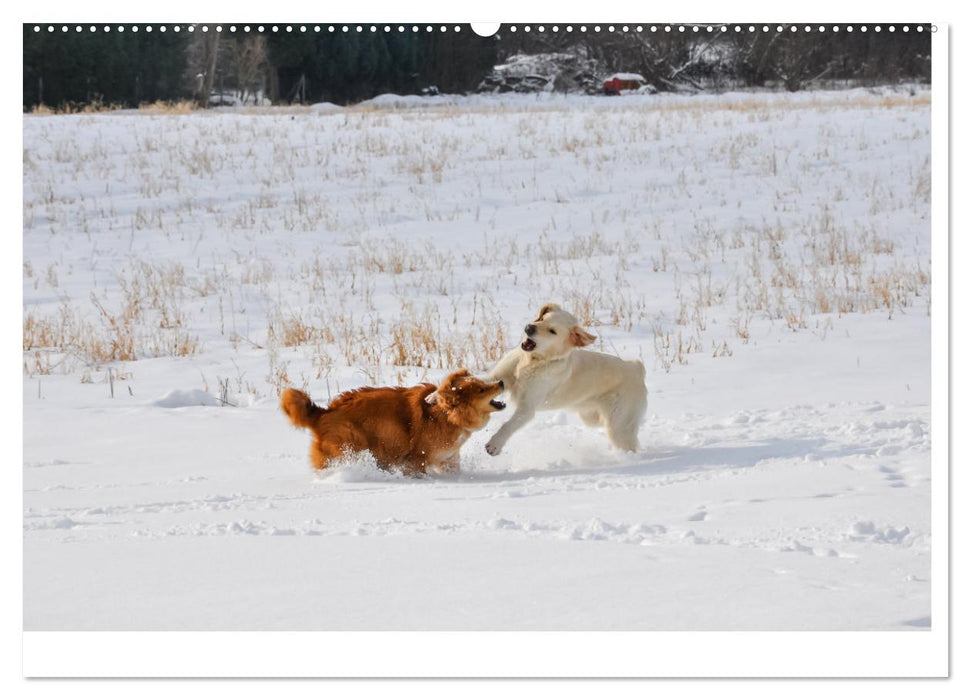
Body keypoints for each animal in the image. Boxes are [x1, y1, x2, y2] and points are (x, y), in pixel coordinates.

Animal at [280, 366, 504, 476]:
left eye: (483, 382)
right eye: (481, 389)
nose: (501, 381)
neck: (445, 415)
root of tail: (323, 413)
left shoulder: (447, 459)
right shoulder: (416, 459)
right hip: (350, 444)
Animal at [484, 304, 648, 456]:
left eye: (552, 331)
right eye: (542, 318)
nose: (529, 327)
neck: (533, 361)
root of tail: (636, 368)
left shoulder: (527, 407)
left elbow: (509, 425)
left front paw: (495, 444)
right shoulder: (499, 377)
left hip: (619, 426)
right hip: (591, 418)